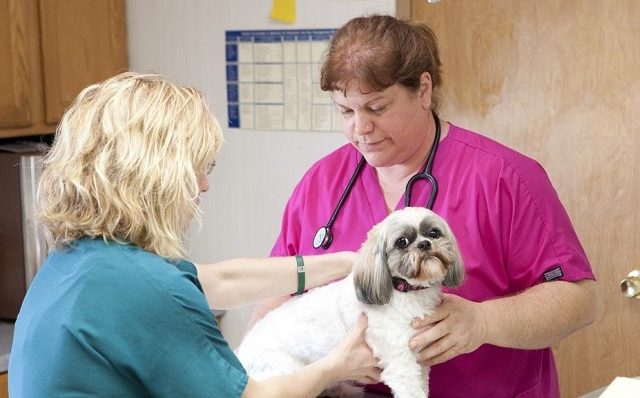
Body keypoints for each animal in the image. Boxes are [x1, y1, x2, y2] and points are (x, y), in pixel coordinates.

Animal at [238, 207, 462, 396]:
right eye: (402, 241)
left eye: (434, 233)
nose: (424, 244)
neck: (407, 293)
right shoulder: (401, 362)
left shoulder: (419, 360)